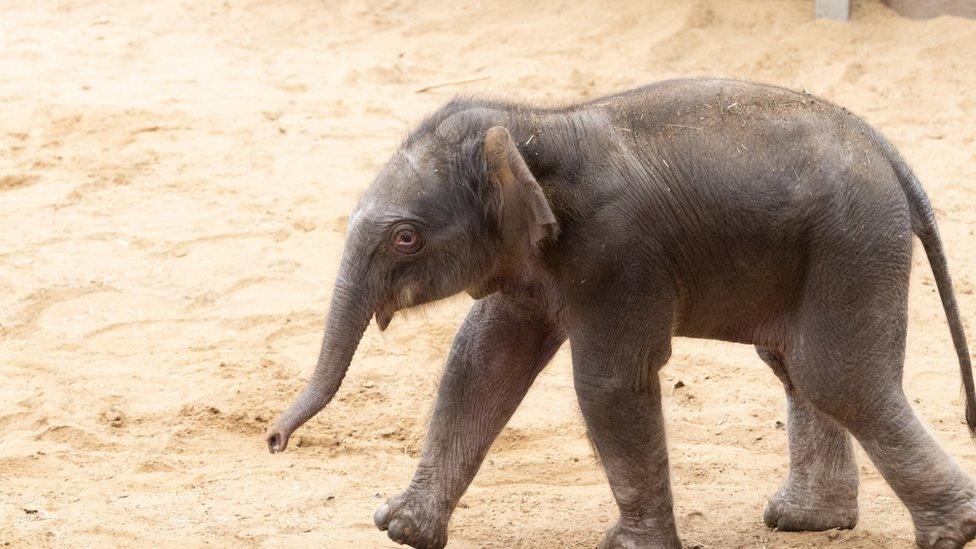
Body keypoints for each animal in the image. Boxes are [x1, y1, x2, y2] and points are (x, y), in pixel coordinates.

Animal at [264, 78, 972, 548]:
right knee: (796, 367)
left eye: (406, 237)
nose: (273, 442)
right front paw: (403, 530)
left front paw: (628, 548)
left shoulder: (617, 254)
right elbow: (480, 364)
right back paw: (806, 522)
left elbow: (607, 384)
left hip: (853, 244)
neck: (538, 125)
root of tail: (893, 159)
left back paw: (952, 531)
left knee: (837, 378)